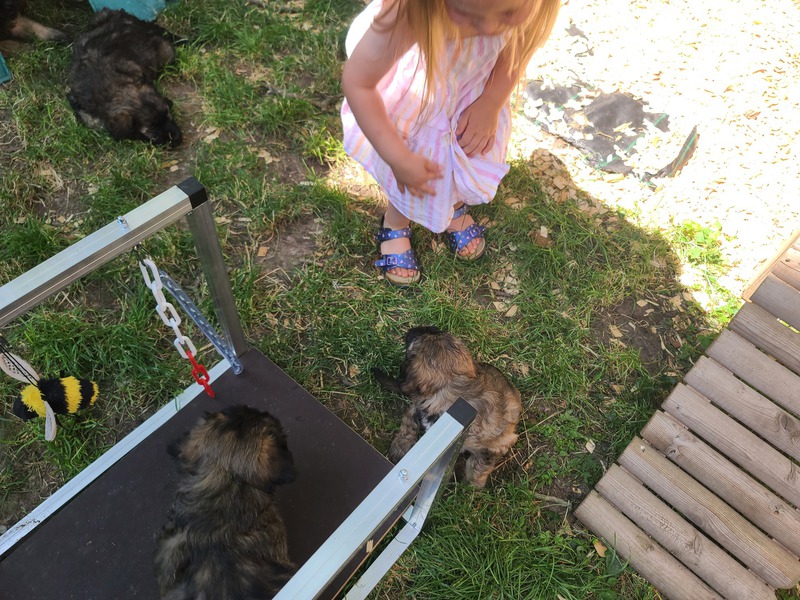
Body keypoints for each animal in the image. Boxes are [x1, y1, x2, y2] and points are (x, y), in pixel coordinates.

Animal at [67, 9, 182, 147]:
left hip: (167, 53)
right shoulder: (74, 94)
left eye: (168, 115)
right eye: (152, 129)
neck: (112, 84)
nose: (177, 138)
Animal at [374, 326, 522, 487]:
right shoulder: (420, 405)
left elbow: (479, 465)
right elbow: (409, 422)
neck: (452, 386)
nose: (413, 329)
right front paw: (400, 448)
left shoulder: (495, 445)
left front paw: (472, 485)